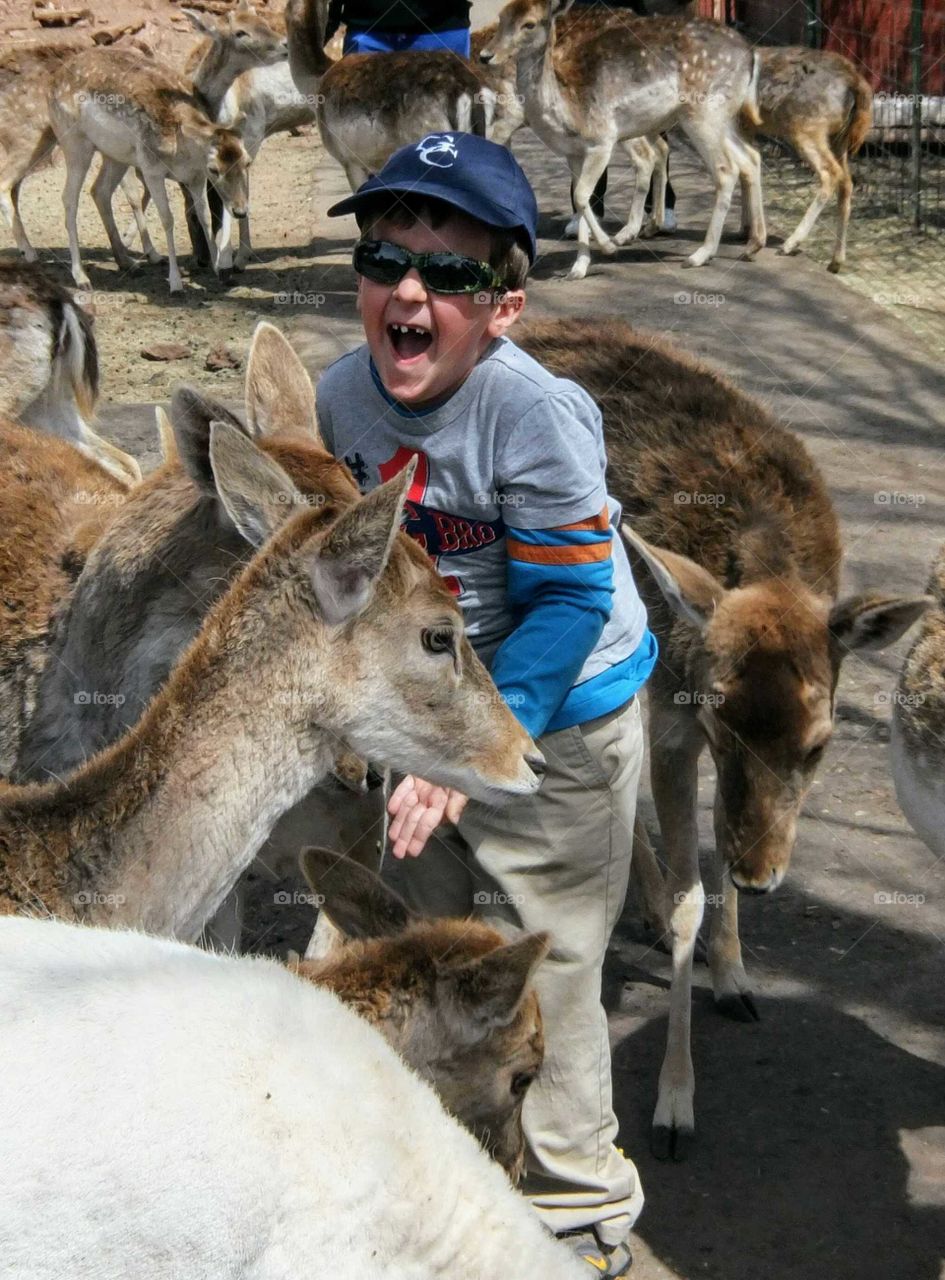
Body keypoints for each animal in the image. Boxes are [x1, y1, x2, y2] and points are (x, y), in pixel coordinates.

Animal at [47, 48, 252, 293]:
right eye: (214, 169)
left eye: (247, 162)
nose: (240, 210)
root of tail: (52, 81)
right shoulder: (151, 169)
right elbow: (167, 219)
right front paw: (176, 284)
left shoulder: (195, 177)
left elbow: (203, 215)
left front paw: (217, 269)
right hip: (75, 145)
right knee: (69, 198)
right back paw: (81, 277)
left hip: (116, 155)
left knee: (100, 190)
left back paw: (128, 263)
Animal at [480, 0, 766, 279]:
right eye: (502, 16)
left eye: (529, 24)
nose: (486, 55)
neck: (566, 110)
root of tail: (752, 55)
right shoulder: (574, 154)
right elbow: (580, 198)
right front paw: (579, 267)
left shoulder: (602, 140)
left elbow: (582, 195)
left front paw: (609, 246)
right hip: (723, 118)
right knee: (750, 158)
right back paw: (753, 244)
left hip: (703, 112)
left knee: (725, 170)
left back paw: (700, 254)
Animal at [517, 316, 928, 1157]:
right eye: (718, 719)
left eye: (819, 744)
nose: (761, 877)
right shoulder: (679, 722)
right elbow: (686, 894)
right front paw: (674, 1105)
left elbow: (716, 835)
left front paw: (734, 975)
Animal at [739, 46, 873, 273]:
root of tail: (856, 83)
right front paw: (745, 228)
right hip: (838, 139)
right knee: (846, 182)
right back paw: (836, 261)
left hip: (806, 128)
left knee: (830, 173)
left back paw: (791, 243)